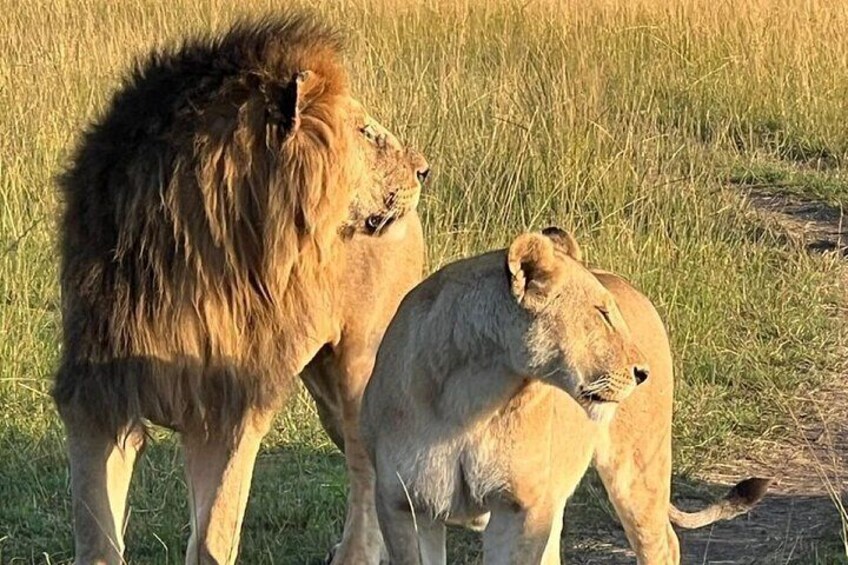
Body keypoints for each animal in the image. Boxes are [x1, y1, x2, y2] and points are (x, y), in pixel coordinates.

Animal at [52, 14, 428, 564]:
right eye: (364, 131)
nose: (424, 170)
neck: (199, 257)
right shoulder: (97, 396)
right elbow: (96, 533)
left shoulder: (228, 405)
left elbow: (214, 534)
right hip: (324, 391)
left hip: (362, 367)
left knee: (369, 468)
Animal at [360, 229, 770, 564]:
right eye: (602, 313)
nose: (642, 373)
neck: (470, 395)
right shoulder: (403, 505)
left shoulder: (521, 508)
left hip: (639, 471)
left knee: (662, 543)